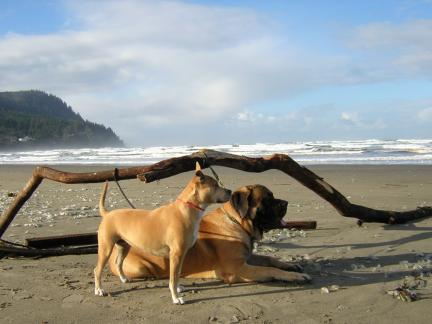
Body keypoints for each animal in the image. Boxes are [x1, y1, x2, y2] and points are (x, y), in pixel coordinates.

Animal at [93, 163, 231, 306]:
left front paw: (178, 288)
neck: (186, 209)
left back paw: (124, 279)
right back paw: (99, 290)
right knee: (97, 270)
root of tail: (107, 214)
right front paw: (176, 298)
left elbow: (177, 274)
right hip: (106, 248)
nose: (230, 191)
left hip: (123, 246)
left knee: (118, 263)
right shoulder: (176, 253)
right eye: (215, 185)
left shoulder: (181, 254)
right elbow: (173, 277)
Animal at [108, 184, 310, 284]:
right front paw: (296, 277)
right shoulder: (239, 268)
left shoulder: (246, 258)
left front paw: (291, 266)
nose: (285, 203)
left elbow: (269, 259)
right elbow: (269, 270)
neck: (237, 222)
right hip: (140, 267)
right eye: (267, 199)